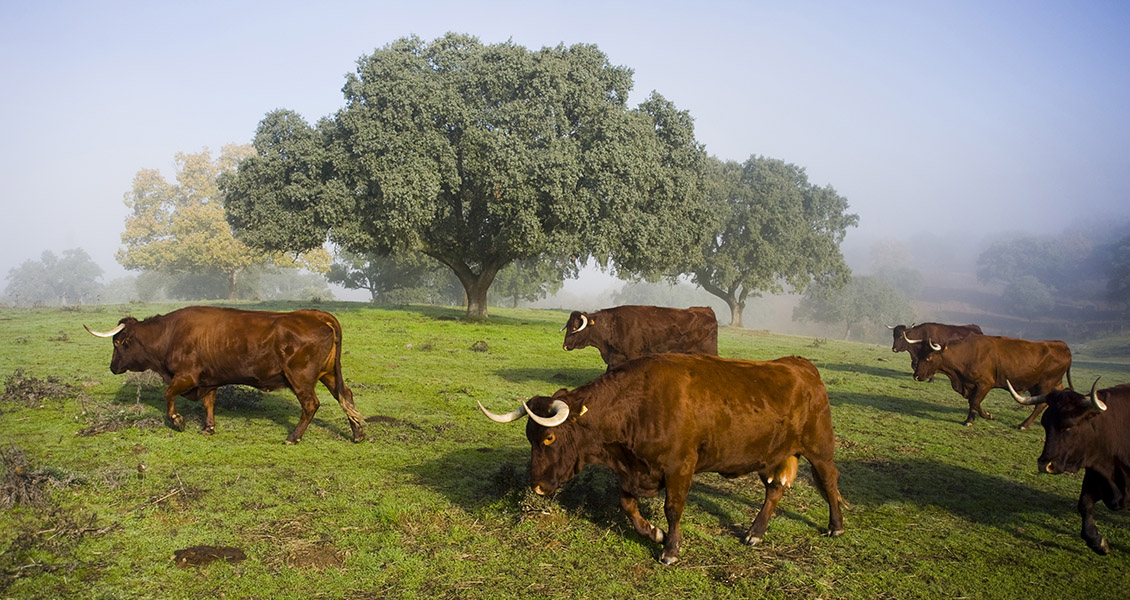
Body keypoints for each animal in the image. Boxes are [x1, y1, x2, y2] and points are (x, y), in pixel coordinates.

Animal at [84, 307, 366, 442]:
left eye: (117, 343)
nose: (112, 367)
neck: (170, 334)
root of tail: (314, 315)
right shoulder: (208, 380)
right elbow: (209, 402)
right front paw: (208, 427)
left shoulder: (186, 376)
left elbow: (168, 396)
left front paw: (177, 420)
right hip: (329, 374)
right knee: (346, 396)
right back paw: (358, 433)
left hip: (301, 378)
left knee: (311, 404)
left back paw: (293, 437)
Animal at [474, 354, 840, 564]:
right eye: (529, 438)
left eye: (549, 438)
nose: (536, 485)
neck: (639, 403)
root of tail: (801, 365)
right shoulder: (635, 471)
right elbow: (626, 503)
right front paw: (654, 533)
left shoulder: (680, 468)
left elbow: (673, 509)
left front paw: (670, 550)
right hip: (774, 454)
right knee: (774, 490)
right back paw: (755, 532)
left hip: (819, 447)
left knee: (829, 481)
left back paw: (835, 526)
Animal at [560, 305, 718, 370]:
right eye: (568, 326)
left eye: (574, 328)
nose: (565, 346)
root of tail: (706, 310)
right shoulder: (614, 359)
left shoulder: (632, 356)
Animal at [913, 336, 1071, 429]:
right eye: (920, 355)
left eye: (928, 358)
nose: (916, 376)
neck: (967, 354)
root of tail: (1062, 345)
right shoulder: (972, 385)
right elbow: (972, 402)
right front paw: (969, 420)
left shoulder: (985, 384)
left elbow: (975, 401)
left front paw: (988, 415)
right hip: (1050, 384)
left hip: (1044, 384)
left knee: (1040, 404)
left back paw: (1024, 424)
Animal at [1007, 379, 1130, 553]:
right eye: (1045, 425)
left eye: (1069, 426)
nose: (1045, 465)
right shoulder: (1095, 475)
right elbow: (1084, 505)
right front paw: (1097, 542)